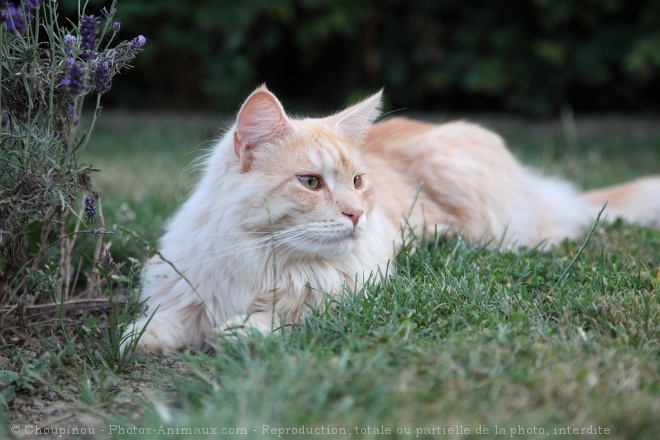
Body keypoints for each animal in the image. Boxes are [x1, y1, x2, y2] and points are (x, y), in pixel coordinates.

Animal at [125, 85, 660, 354]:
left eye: (358, 181)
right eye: (311, 182)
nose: (357, 214)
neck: (262, 258)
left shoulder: (348, 293)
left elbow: (279, 317)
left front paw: (237, 332)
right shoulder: (186, 283)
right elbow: (159, 325)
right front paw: (142, 339)